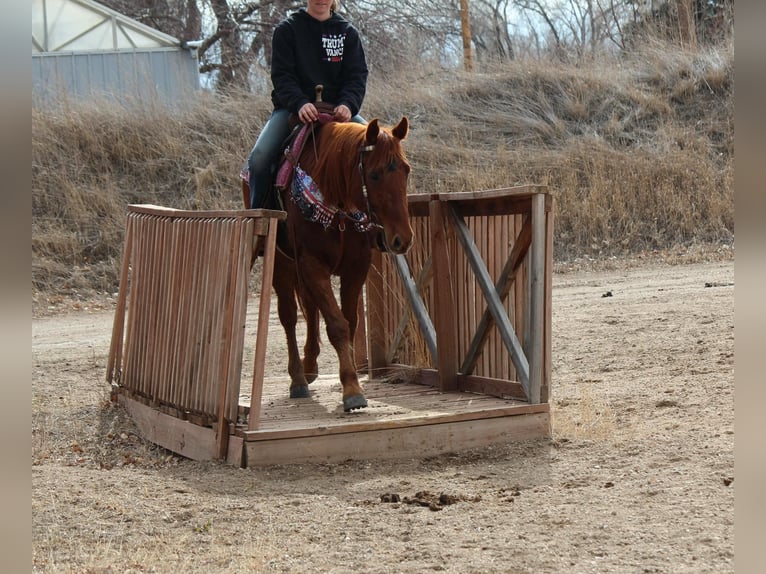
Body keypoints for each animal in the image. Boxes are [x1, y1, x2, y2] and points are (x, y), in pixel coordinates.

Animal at [243, 113, 413, 412]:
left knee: (310, 310)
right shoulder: (312, 265)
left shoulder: (355, 268)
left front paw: (350, 380)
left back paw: (310, 367)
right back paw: (298, 379)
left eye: (406, 170)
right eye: (374, 174)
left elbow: (349, 321)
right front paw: (352, 390)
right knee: (289, 316)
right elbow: (337, 324)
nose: (401, 239)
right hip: (282, 264)